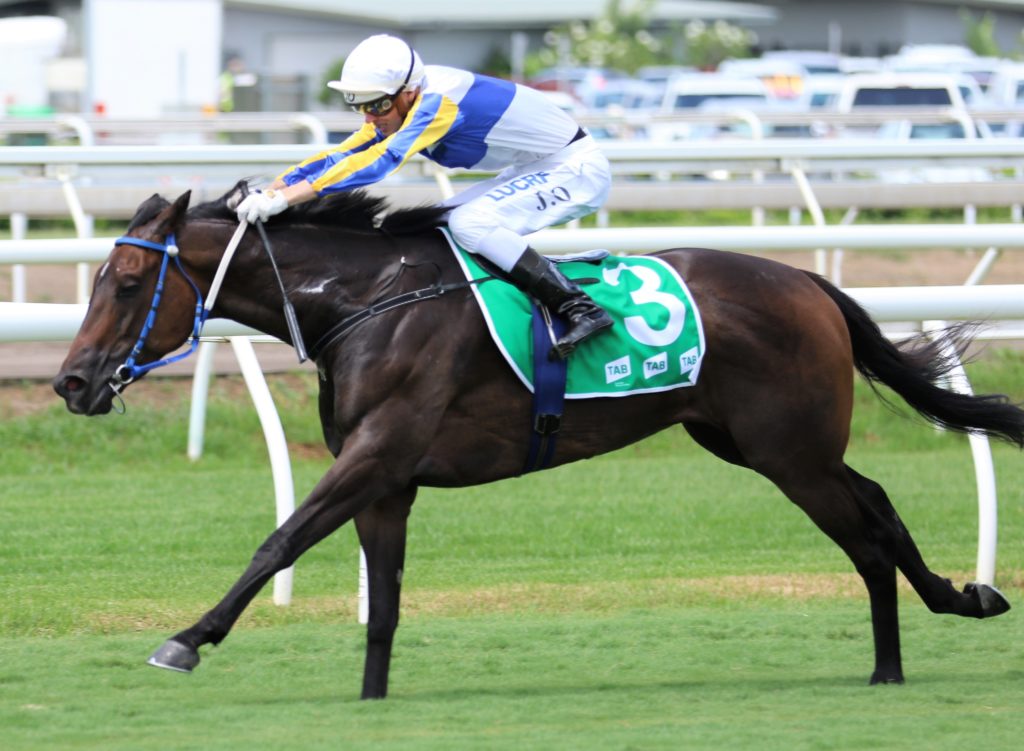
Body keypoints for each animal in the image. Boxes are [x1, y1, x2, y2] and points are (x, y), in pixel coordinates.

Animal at [53, 184, 1024, 700]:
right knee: (878, 509)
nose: (71, 381)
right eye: (96, 275)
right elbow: (385, 598)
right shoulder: (389, 478)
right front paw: (371, 698)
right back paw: (941, 617)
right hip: (750, 442)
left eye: (129, 279)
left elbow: (278, 539)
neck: (364, 300)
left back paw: (910, 646)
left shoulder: (376, 453)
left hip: (789, 450)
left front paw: (187, 637)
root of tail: (810, 283)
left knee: (865, 531)